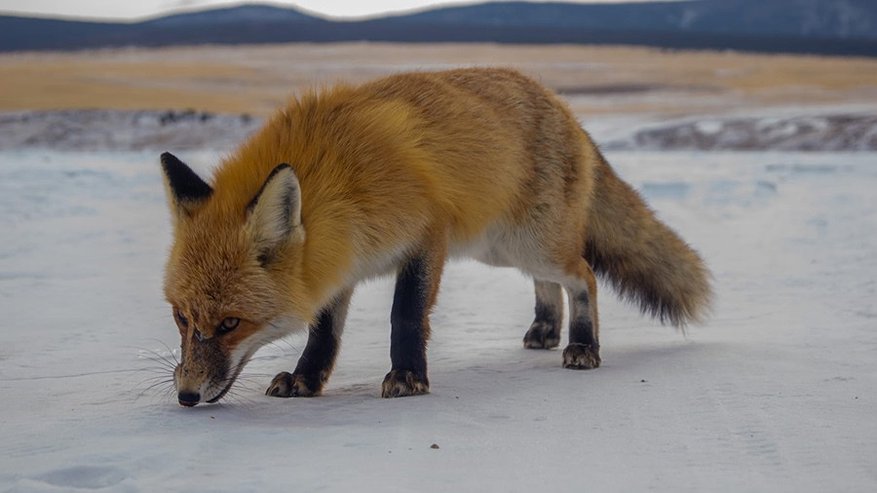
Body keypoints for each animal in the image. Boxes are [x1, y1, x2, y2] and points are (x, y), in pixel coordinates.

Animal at [161, 67, 712, 406]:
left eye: (231, 323)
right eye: (182, 317)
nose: (186, 396)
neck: (340, 180)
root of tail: (566, 109)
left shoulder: (426, 237)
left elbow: (404, 315)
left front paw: (408, 377)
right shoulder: (338, 263)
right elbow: (324, 332)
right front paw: (306, 379)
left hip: (530, 243)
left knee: (583, 275)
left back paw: (582, 345)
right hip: (502, 249)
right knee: (548, 284)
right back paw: (545, 330)